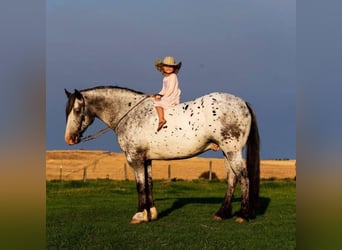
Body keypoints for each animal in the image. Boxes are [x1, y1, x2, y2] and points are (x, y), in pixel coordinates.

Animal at [64, 85, 260, 223]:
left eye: (76, 110)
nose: (69, 139)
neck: (130, 114)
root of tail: (243, 102)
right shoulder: (147, 159)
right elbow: (149, 184)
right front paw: (151, 213)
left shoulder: (135, 158)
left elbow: (140, 185)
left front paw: (140, 215)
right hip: (227, 153)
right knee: (232, 179)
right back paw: (222, 213)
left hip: (232, 151)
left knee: (244, 177)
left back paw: (243, 215)